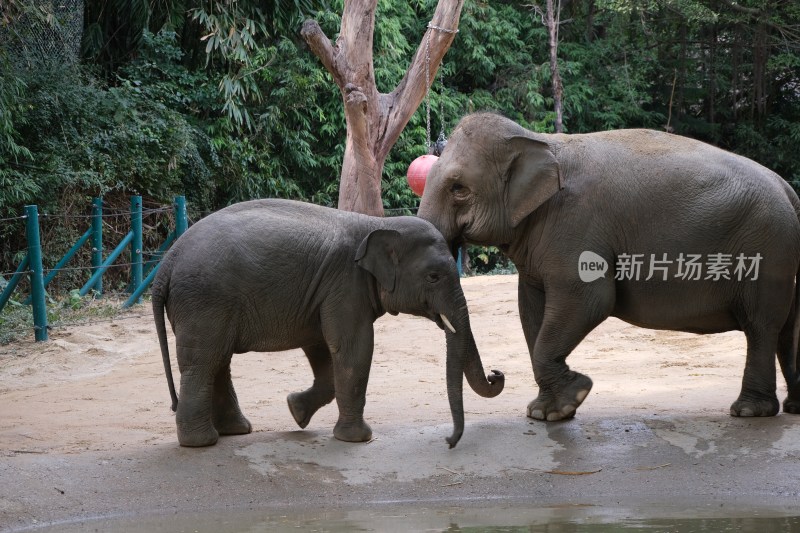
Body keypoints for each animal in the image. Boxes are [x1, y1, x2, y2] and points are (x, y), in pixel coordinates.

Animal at [151, 197, 504, 446]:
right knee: (204, 362)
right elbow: (352, 348)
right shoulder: (344, 284)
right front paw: (358, 439)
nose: (496, 373)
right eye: (433, 277)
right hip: (205, 301)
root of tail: (167, 263)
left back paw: (236, 431)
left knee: (217, 361)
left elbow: (322, 348)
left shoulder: (324, 292)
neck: (378, 224)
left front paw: (296, 411)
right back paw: (202, 442)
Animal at [418, 113, 800, 424]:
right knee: (784, 330)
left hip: (767, 250)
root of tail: (787, 188)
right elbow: (531, 311)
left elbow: (591, 299)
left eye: (458, 188)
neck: (538, 140)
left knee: (761, 326)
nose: (497, 374)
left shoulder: (576, 226)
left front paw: (575, 395)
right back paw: (792, 407)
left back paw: (750, 411)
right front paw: (547, 413)